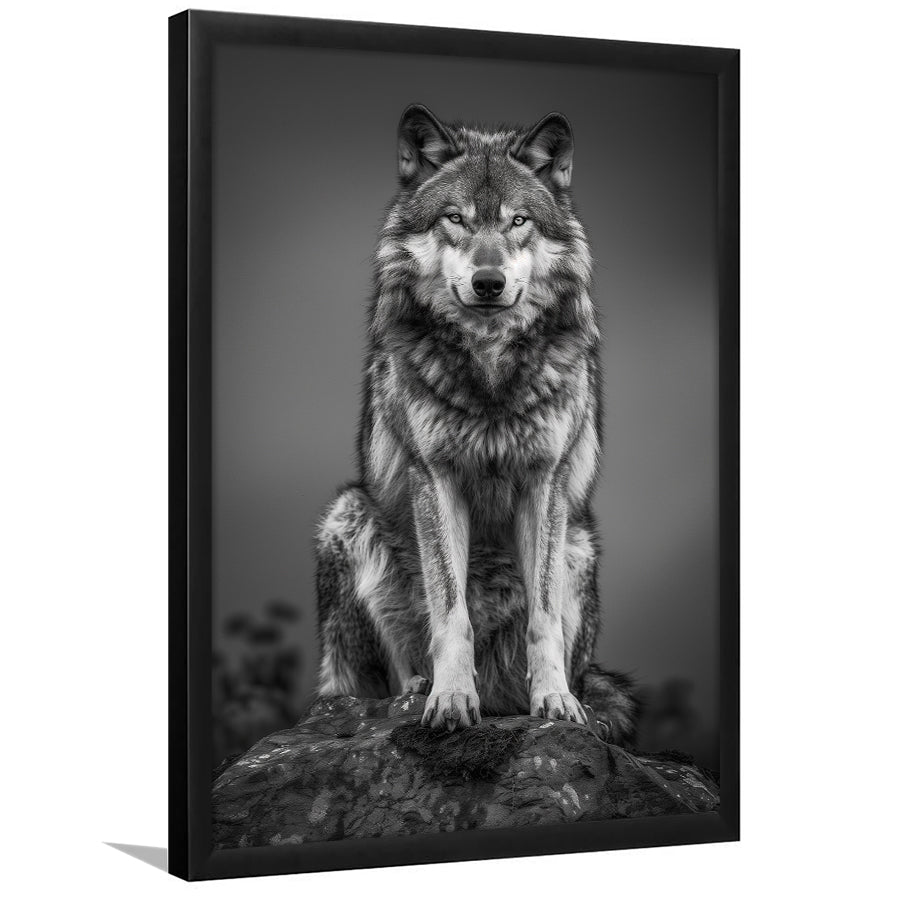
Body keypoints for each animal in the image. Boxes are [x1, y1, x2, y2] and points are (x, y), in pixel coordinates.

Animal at [315, 104, 637, 740]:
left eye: (518, 221)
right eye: (455, 219)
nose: (489, 282)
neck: (488, 367)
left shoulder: (545, 481)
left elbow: (542, 620)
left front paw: (556, 702)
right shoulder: (434, 477)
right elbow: (450, 611)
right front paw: (451, 700)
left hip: (579, 545)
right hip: (349, 515)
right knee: (376, 678)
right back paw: (416, 691)